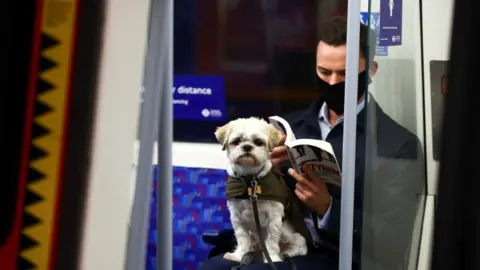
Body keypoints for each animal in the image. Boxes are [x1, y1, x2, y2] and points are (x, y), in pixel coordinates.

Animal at [214, 117, 308, 262]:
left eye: (258, 142)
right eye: (236, 141)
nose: (247, 146)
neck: (250, 181)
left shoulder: (274, 218)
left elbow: (271, 241)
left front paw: (273, 258)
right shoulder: (237, 217)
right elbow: (242, 238)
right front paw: (238, 255)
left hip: (295, 238)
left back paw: (283, 255)